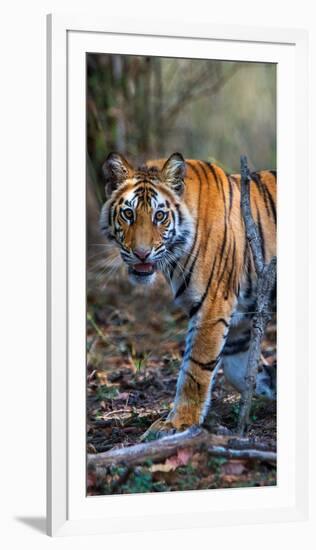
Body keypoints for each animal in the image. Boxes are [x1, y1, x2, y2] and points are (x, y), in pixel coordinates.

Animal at [100, 153, 276, 438]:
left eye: (160, 215)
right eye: (128, 214)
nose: (141, 254)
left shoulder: (213, 306)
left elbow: (195, 369)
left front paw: (177, 424)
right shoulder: (239, 319)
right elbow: (240, 371)